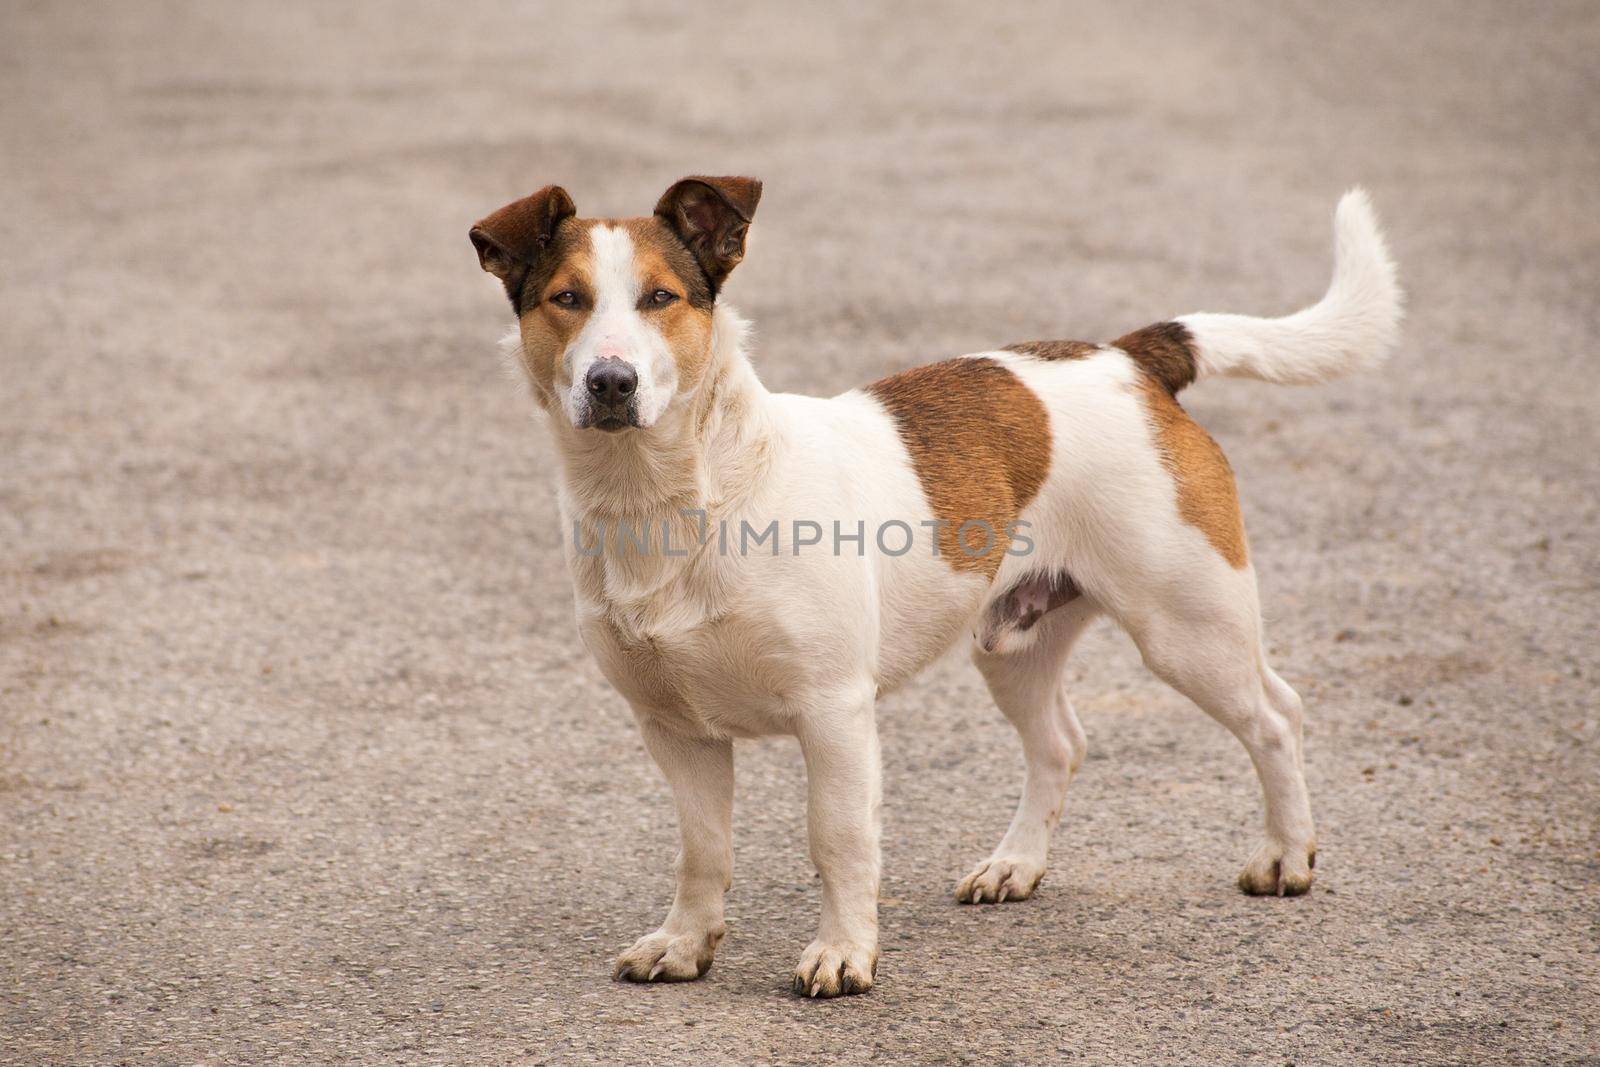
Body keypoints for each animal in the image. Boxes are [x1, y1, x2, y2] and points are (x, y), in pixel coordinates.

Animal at [464, 177, 1401, 1004]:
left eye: (661, 297)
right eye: (566, 298)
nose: (611, 383)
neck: (685, 497)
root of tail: (1130, 357)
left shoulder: (834, 712)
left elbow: (838, 841)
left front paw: (843, 954)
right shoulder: (674, 730)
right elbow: (704, 851)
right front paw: (686, 942)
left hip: (1189, 628)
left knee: (1275, 715)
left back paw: (1287, 855)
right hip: (1012, 642)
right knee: (1060, 743)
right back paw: (1016, 864)